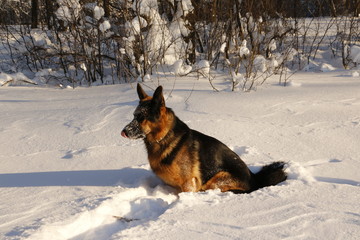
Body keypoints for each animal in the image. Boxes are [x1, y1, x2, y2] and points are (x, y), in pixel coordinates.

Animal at [121, 84, 286, 193]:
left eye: (141, 117)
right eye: (134, 116)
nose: (123, 132)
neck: (164, 136)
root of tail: (254, 178)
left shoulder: (189, 184)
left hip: (215, 180)